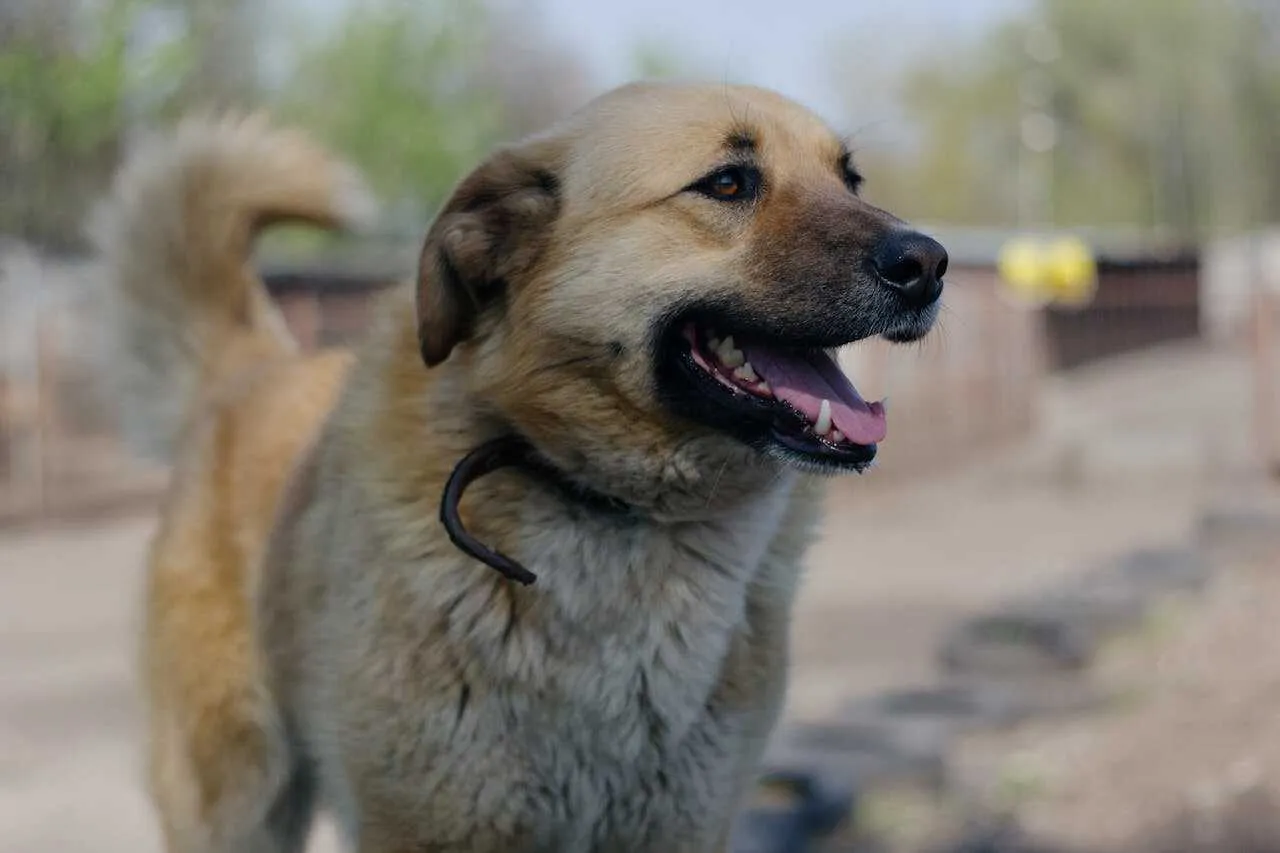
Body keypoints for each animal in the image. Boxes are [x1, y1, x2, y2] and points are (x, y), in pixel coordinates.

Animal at [94, 81, 947, 850]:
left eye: (850, 179)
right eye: (729, 182)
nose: (928, 262)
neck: (615, 513)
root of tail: (251, 372)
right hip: (236, 803)